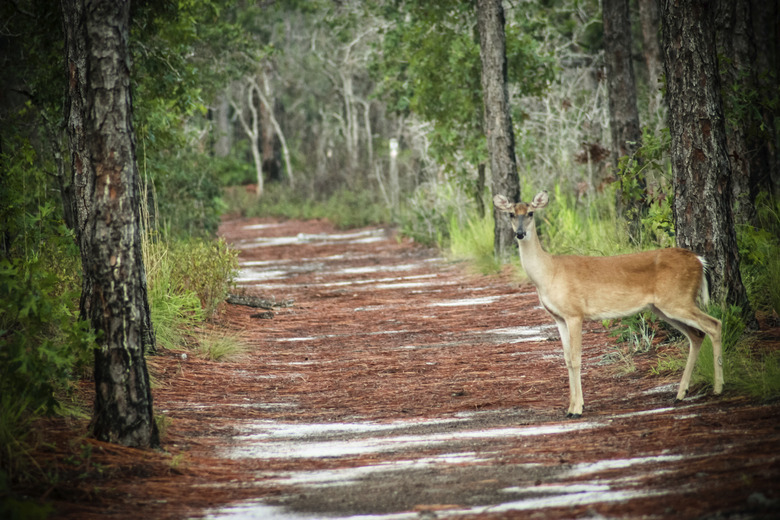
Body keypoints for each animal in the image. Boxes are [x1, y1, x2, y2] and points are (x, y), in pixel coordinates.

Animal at [494, 191, 724, 418]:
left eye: (531, 213)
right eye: (511, 214)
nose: (520, 233)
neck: (548, 273)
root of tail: (699, 260)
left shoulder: (575, 313)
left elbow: (576, 359)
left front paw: (577, 410)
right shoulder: (558, 317)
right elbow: (566, 360)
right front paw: (570, 407)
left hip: (677, 299)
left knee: (714, 324)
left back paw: (718, 388)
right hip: (664, 307)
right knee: (697, 335)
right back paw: (681, 394)